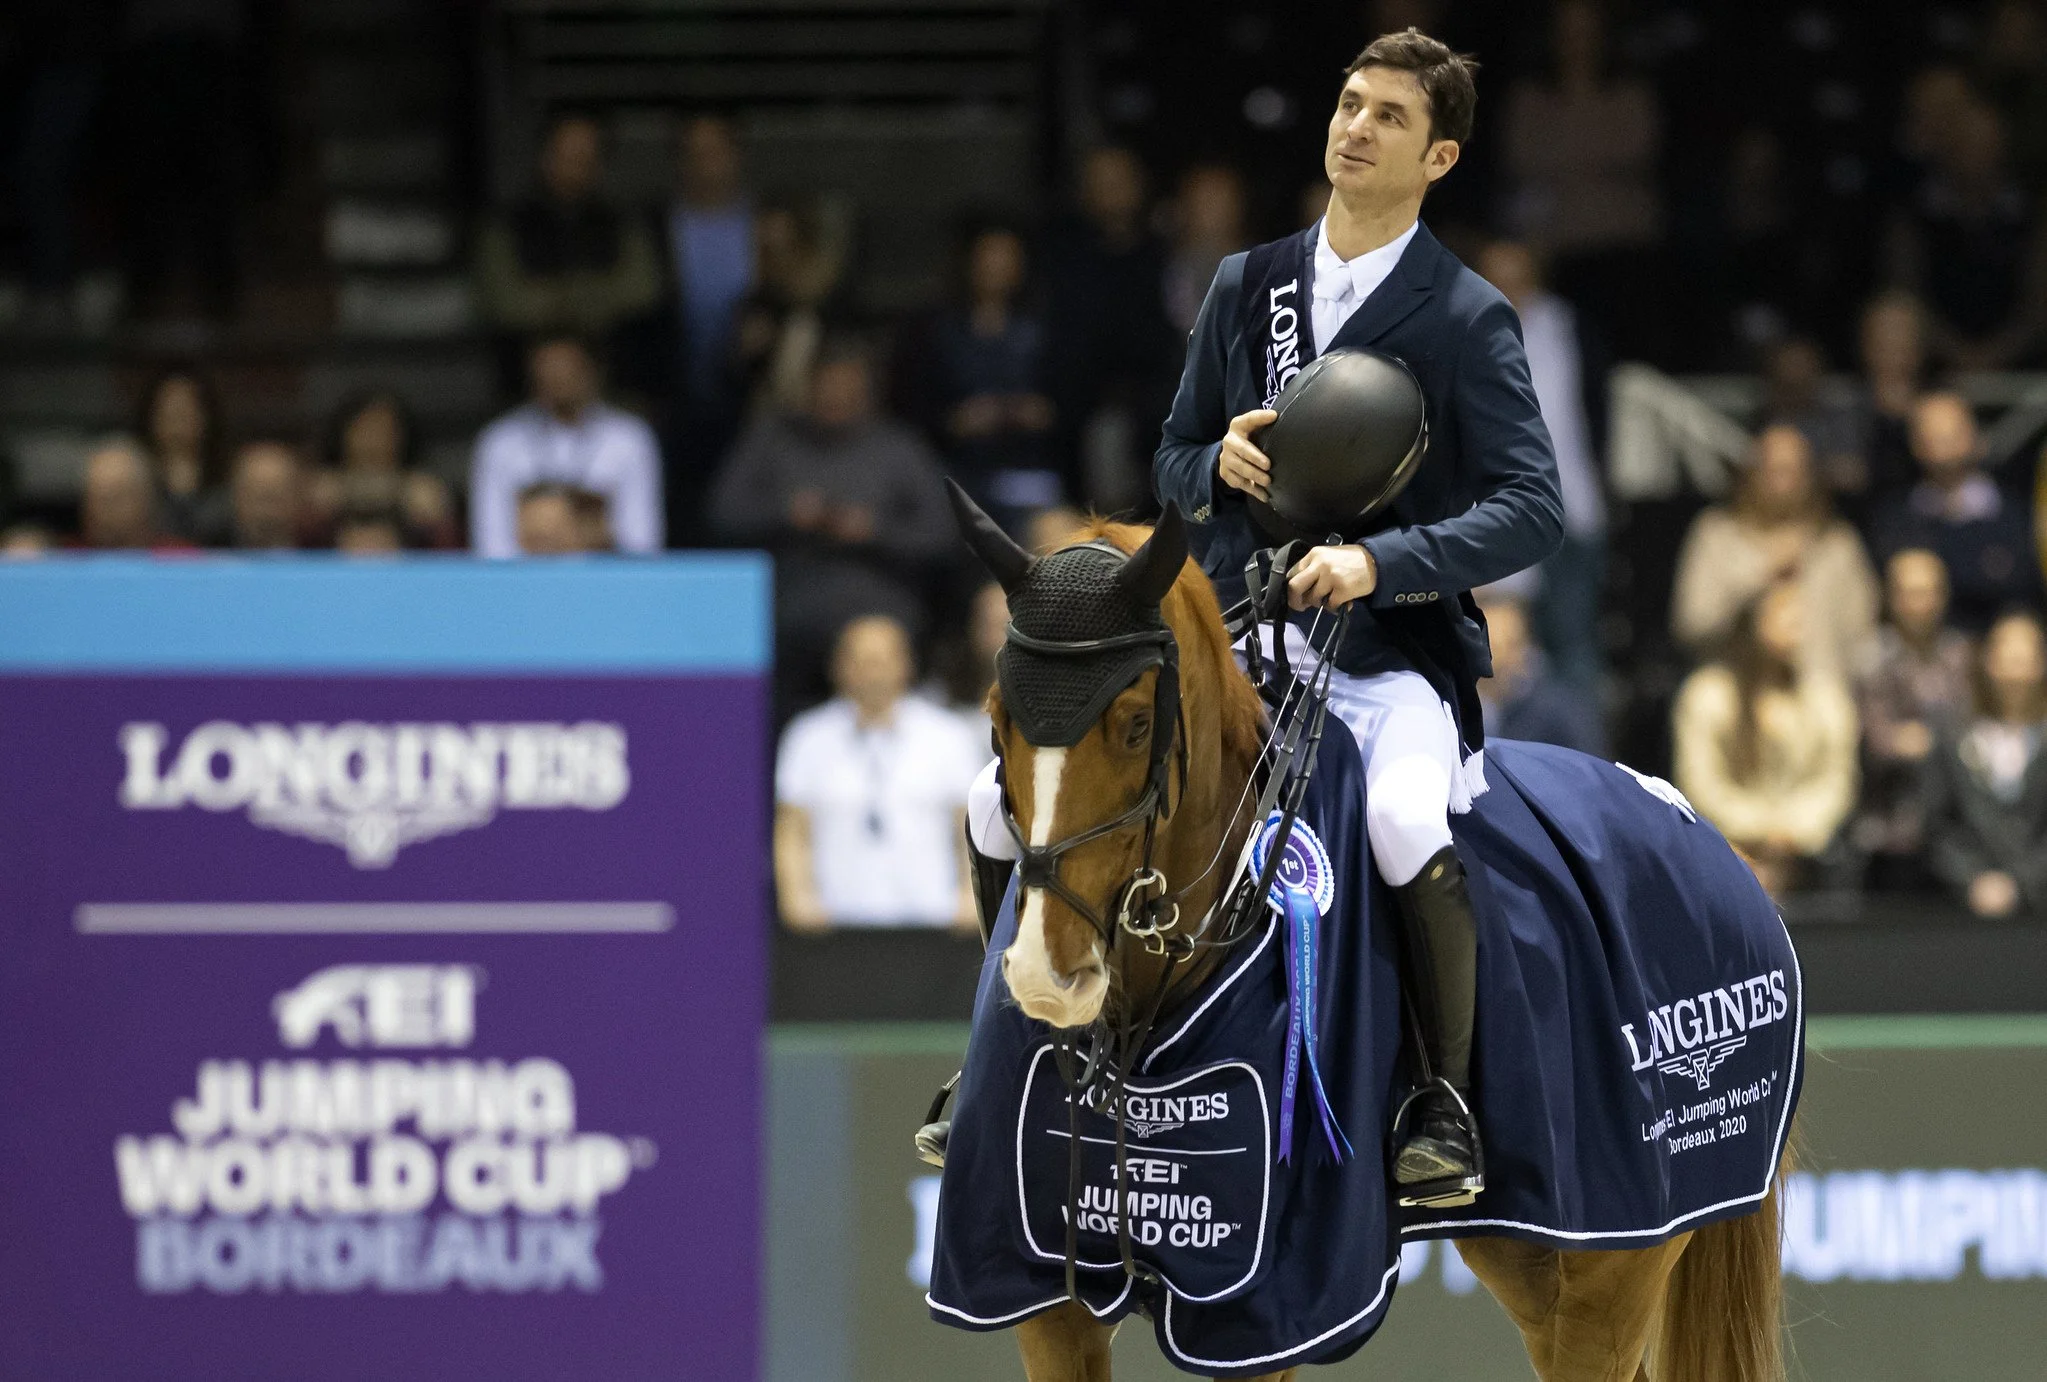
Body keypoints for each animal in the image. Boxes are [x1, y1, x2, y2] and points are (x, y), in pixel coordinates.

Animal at [933, 495, 1795, 1382]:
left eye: (1137, 726)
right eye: (996, 720)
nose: (1048, 978)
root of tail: (1704, 835)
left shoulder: (1263, 1306)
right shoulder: (1042, 1293)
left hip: (1615, 1250)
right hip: (1530, 1251)